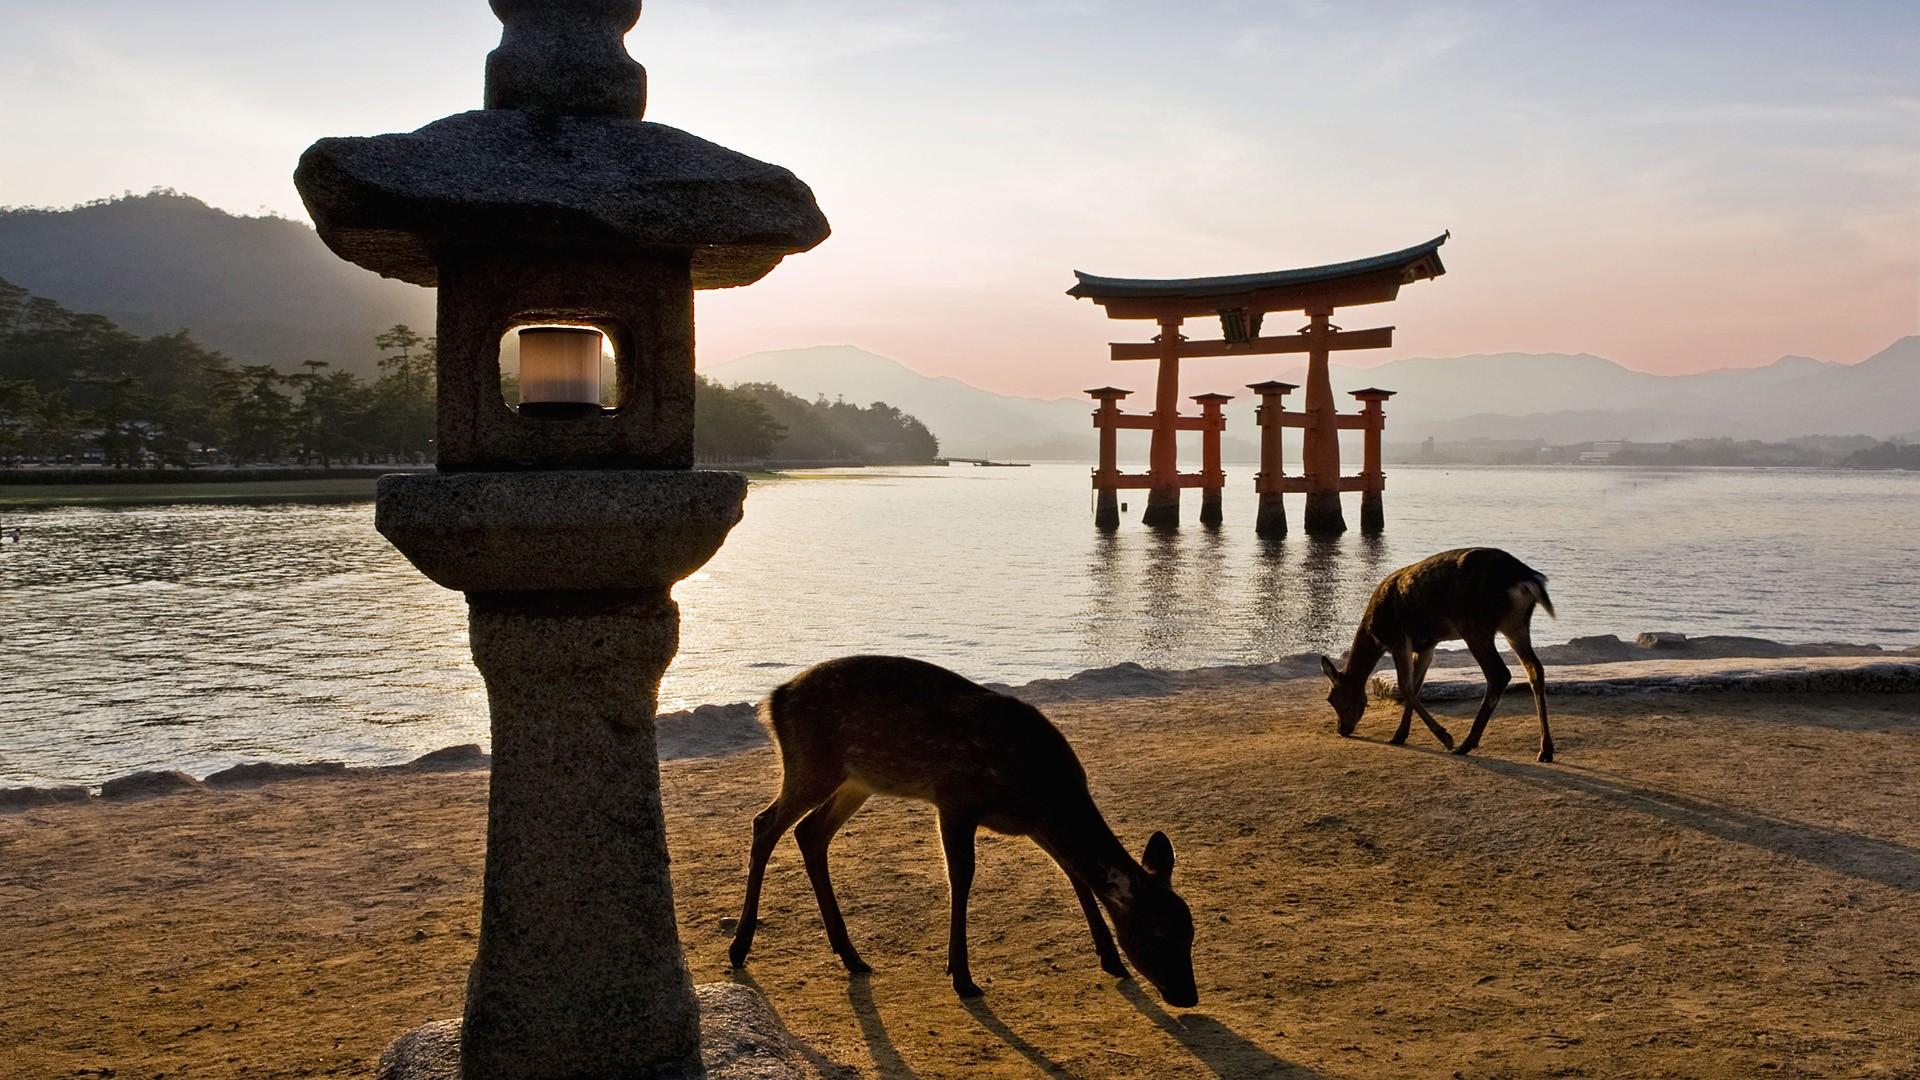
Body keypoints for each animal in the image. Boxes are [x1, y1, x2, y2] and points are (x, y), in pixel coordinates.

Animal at [725, 653, 1190, 1006]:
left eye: (1190, 932)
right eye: (1159, 934)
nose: (1188, 996)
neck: (1042, 788)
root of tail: (773, 700)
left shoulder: (1035, 823)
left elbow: (1074, 875)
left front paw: (1112, 961)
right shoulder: (955, 799)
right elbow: (961, 877)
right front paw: (962, 977)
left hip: (858, 780)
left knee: (810, 832)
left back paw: (851, 955)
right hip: (812, 765)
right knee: (765, 824)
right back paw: (740, 946)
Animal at [1320, 545, 1559, 757]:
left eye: (1332, 698)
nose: (1342, 729)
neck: (1374, 633)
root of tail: (1526, 578)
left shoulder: (1398, 639)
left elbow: (1405, 686)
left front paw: (1445, 737)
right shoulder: (1427, 645)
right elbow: (1416, 686)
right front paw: (1400, 735)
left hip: (1475, 626)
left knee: (1499, 674)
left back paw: (1465, 744)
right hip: (1516, 626)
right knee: (1535, 670)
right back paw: (1545, 750)